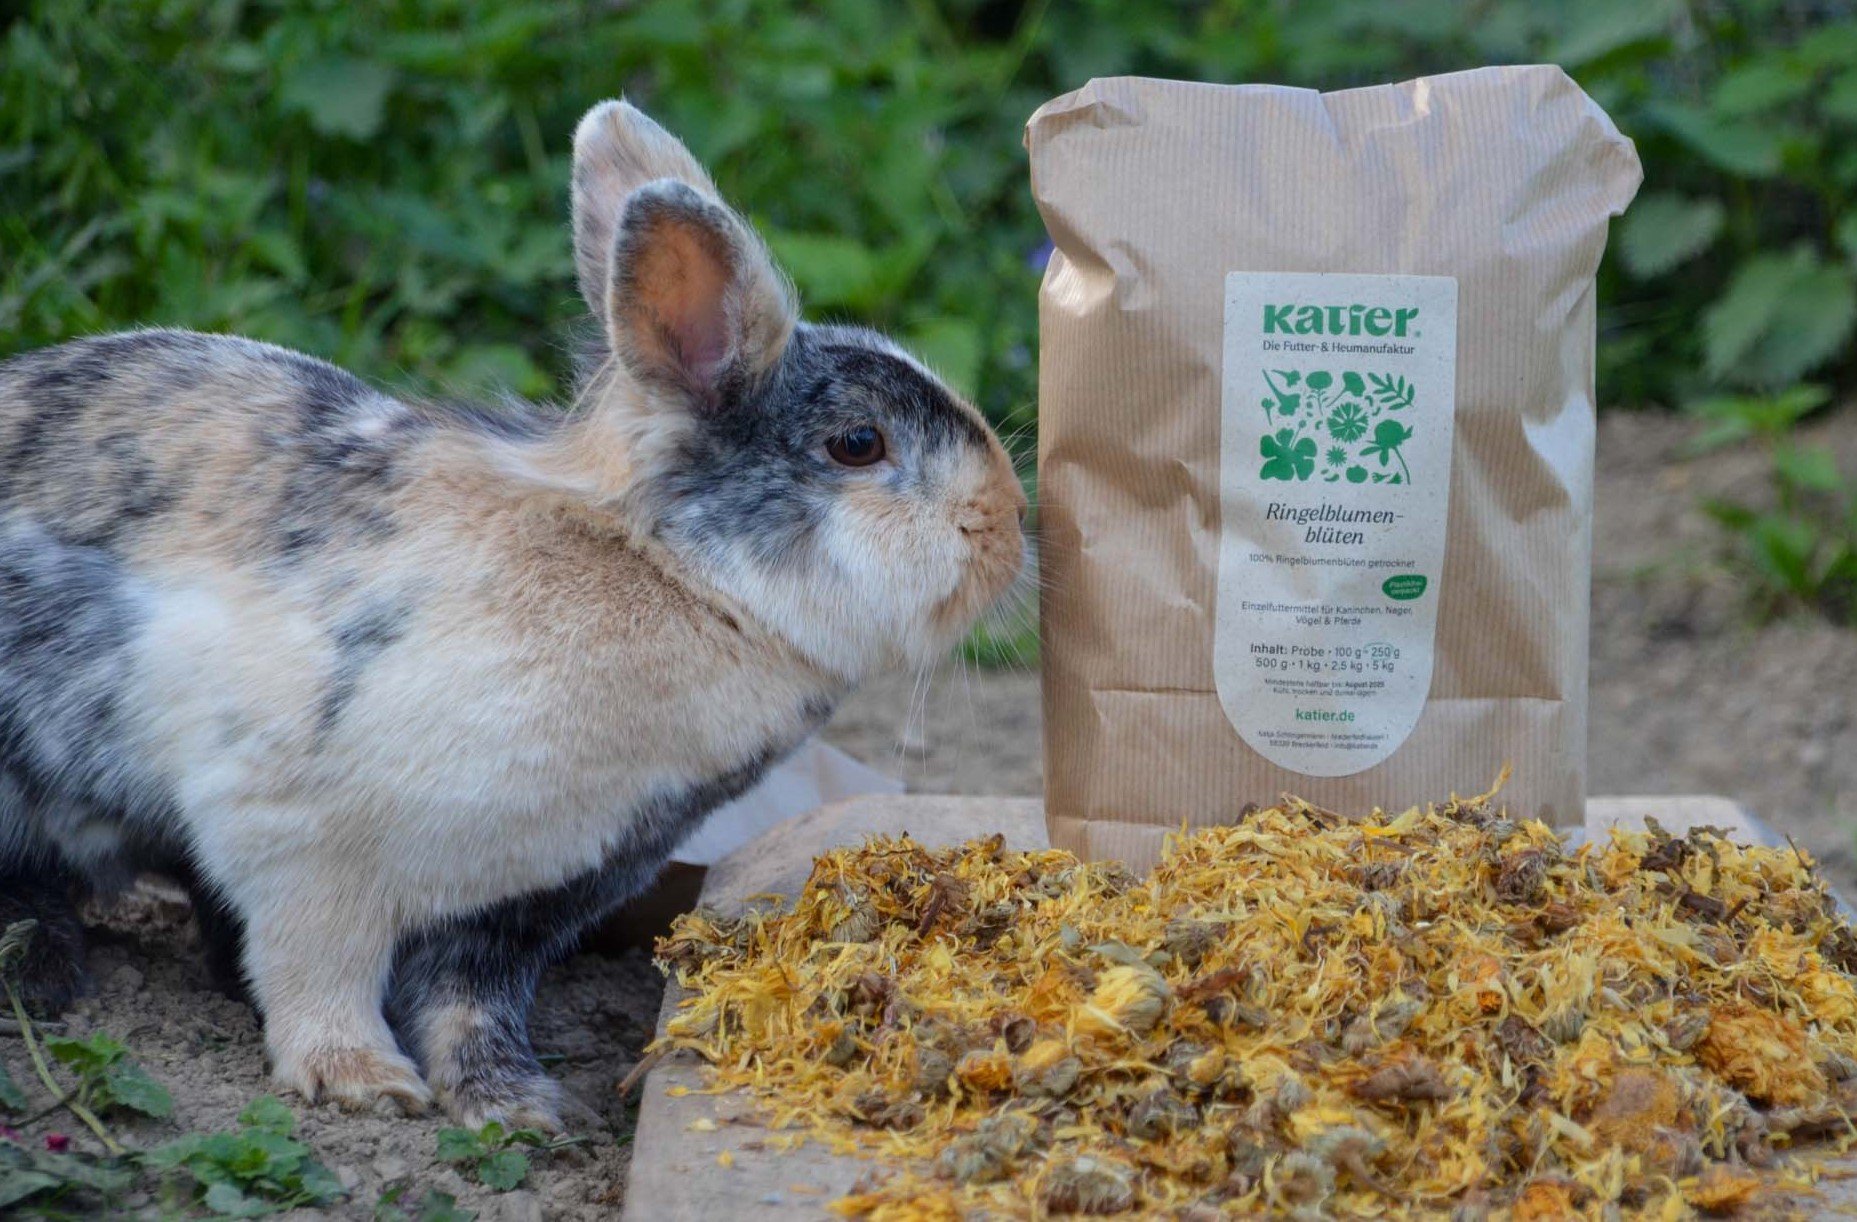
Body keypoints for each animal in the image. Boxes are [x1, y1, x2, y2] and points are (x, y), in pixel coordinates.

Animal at [0, 99, 1026, 1127]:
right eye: (858, 443)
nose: (1011, 524)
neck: (678, 576)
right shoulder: (297, 843)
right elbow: (316, 971)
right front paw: (362, 1081)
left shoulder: (520, 901)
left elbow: (467, 1004)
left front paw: (515, 1105)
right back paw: (41, 974)